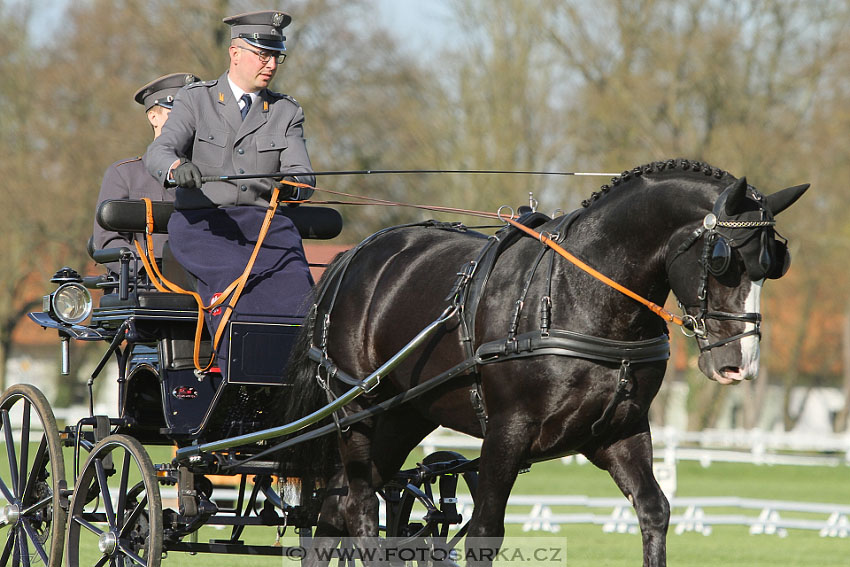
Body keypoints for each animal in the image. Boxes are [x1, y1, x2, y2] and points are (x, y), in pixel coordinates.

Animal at [284, 158, 808, 564]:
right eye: (723, 260)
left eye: (775, 264)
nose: (739, 365)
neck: (580, 296)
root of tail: (355, 253)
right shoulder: (507, 430)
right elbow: (484, 532)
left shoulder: (620, 431)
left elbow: (654, 511)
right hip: (356, 413)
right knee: (359, 509)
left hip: (401, 416)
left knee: (334, 512)